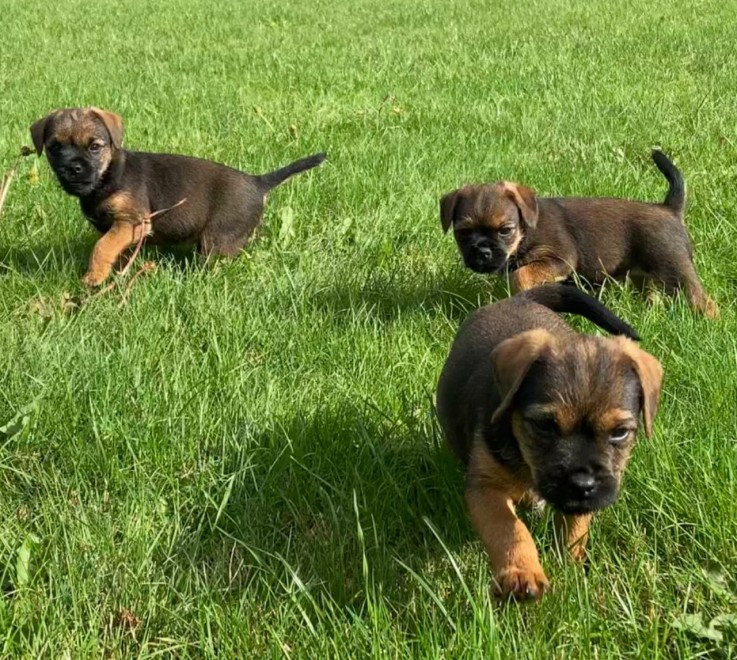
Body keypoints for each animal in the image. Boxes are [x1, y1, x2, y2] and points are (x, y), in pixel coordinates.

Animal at [31, 107, 324, 284]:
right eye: (54, 148)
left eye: (94, 147)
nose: (73, 168)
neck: (108, 176)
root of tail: (258, 181)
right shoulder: (123, 230)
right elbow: (115, 248)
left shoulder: (133, 221)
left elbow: (102, 247)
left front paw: (93, 278)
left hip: (216, 240)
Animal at [434, 284, 664, 600]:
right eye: (544, 425)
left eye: (619, 432)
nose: (582, 484)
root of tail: (519, 299)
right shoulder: (486, 487)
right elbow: (508, 528)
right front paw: (521, 573)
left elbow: (575, 527)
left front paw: (571, 566)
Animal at [440, 151, 716, 316]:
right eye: (463, 232)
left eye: (505, 230)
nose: (482, 251)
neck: (525, 232)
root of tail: (669, 208)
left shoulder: (560, 258)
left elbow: (522, 274)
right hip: (645, 275)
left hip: (675, 269)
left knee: (703, 300)